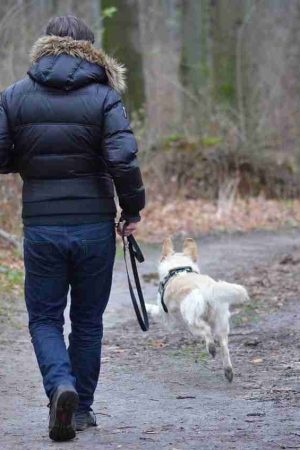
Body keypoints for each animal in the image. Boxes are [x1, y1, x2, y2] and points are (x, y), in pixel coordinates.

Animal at [146, 237, 250, 382]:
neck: (178, 268)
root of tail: (207, 289)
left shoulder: (166, 317)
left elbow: (154, 309)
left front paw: (146, 307)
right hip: (221, 324)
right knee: (224, 347)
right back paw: (228, 371)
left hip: (192, 322)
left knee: (206, 331)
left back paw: (211, 348)